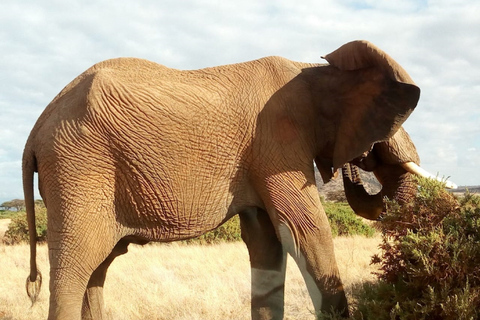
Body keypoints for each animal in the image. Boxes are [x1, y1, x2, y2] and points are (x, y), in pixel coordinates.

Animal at [23, 40, 420, 320]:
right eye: (392, 124)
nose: (354, 165)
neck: (311, 68)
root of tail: (35, 130)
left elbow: (267, 243)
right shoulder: (278, 139)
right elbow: (306, 229)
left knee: (97, 270)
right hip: (79, 168)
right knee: (75, 269)